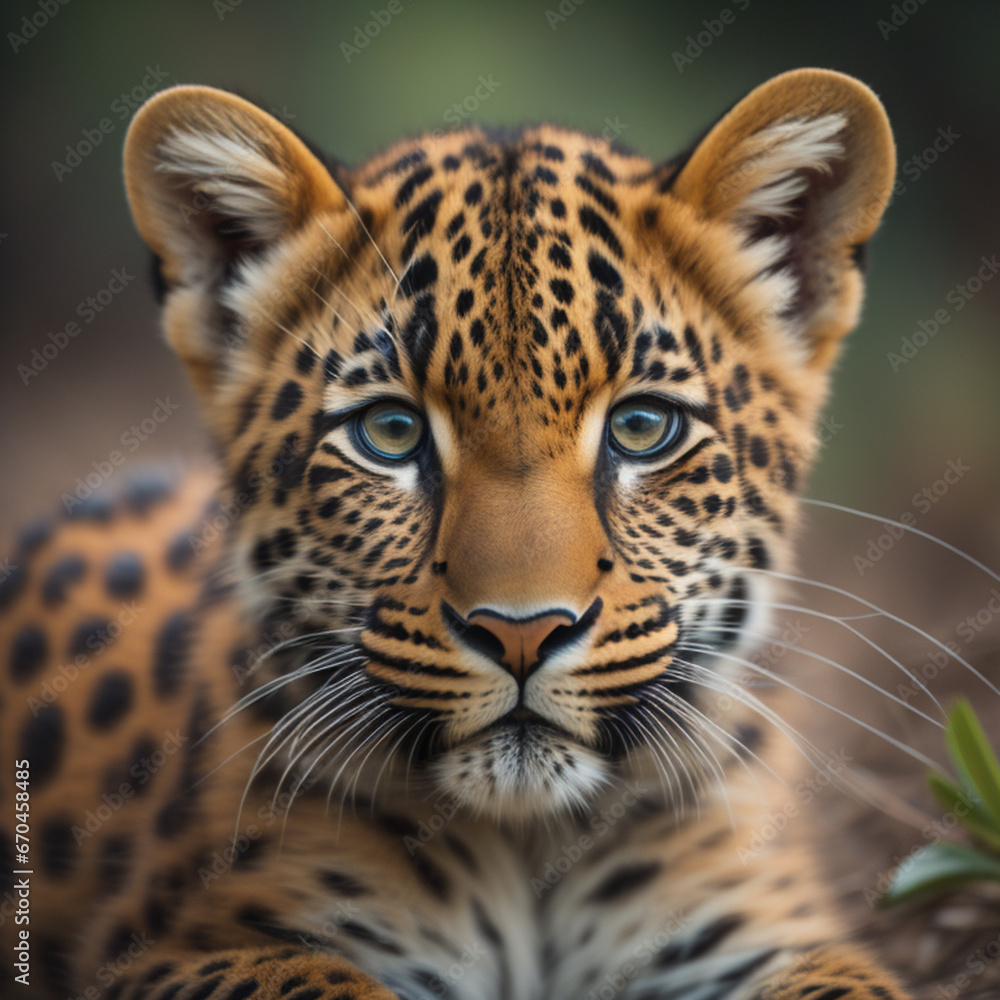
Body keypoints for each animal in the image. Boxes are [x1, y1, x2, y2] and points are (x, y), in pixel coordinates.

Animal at [0, 67, 915, 999]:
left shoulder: (759, 932)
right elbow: (327, 981)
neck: (532, 843)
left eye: (643, 427)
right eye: (391, 432)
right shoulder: (174, 953)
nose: (523, 635)